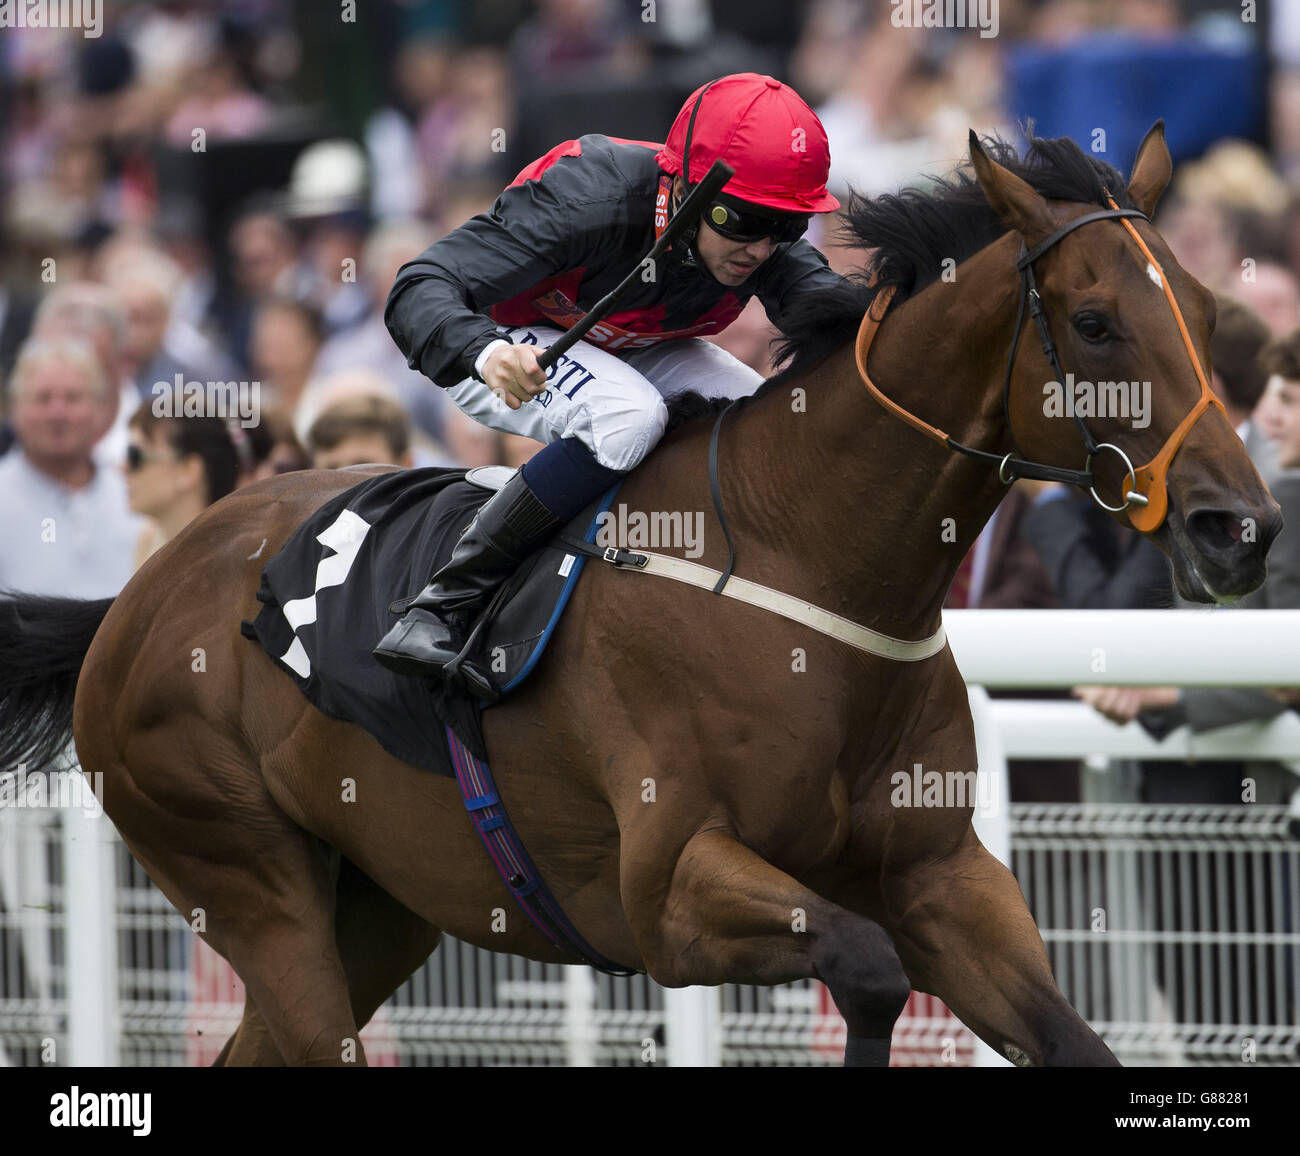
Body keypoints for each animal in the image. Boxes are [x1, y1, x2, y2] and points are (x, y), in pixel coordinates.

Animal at [0, 124, 1279, 1066]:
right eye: (1095, 322)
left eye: (1207, 312)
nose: (1240, 528)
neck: (801, 558)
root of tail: (137, 596)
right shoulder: (670, 894)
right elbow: (866, 969)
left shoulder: (943, 877)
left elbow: (1067, 1039)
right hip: (242, 872)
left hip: (376, 900)